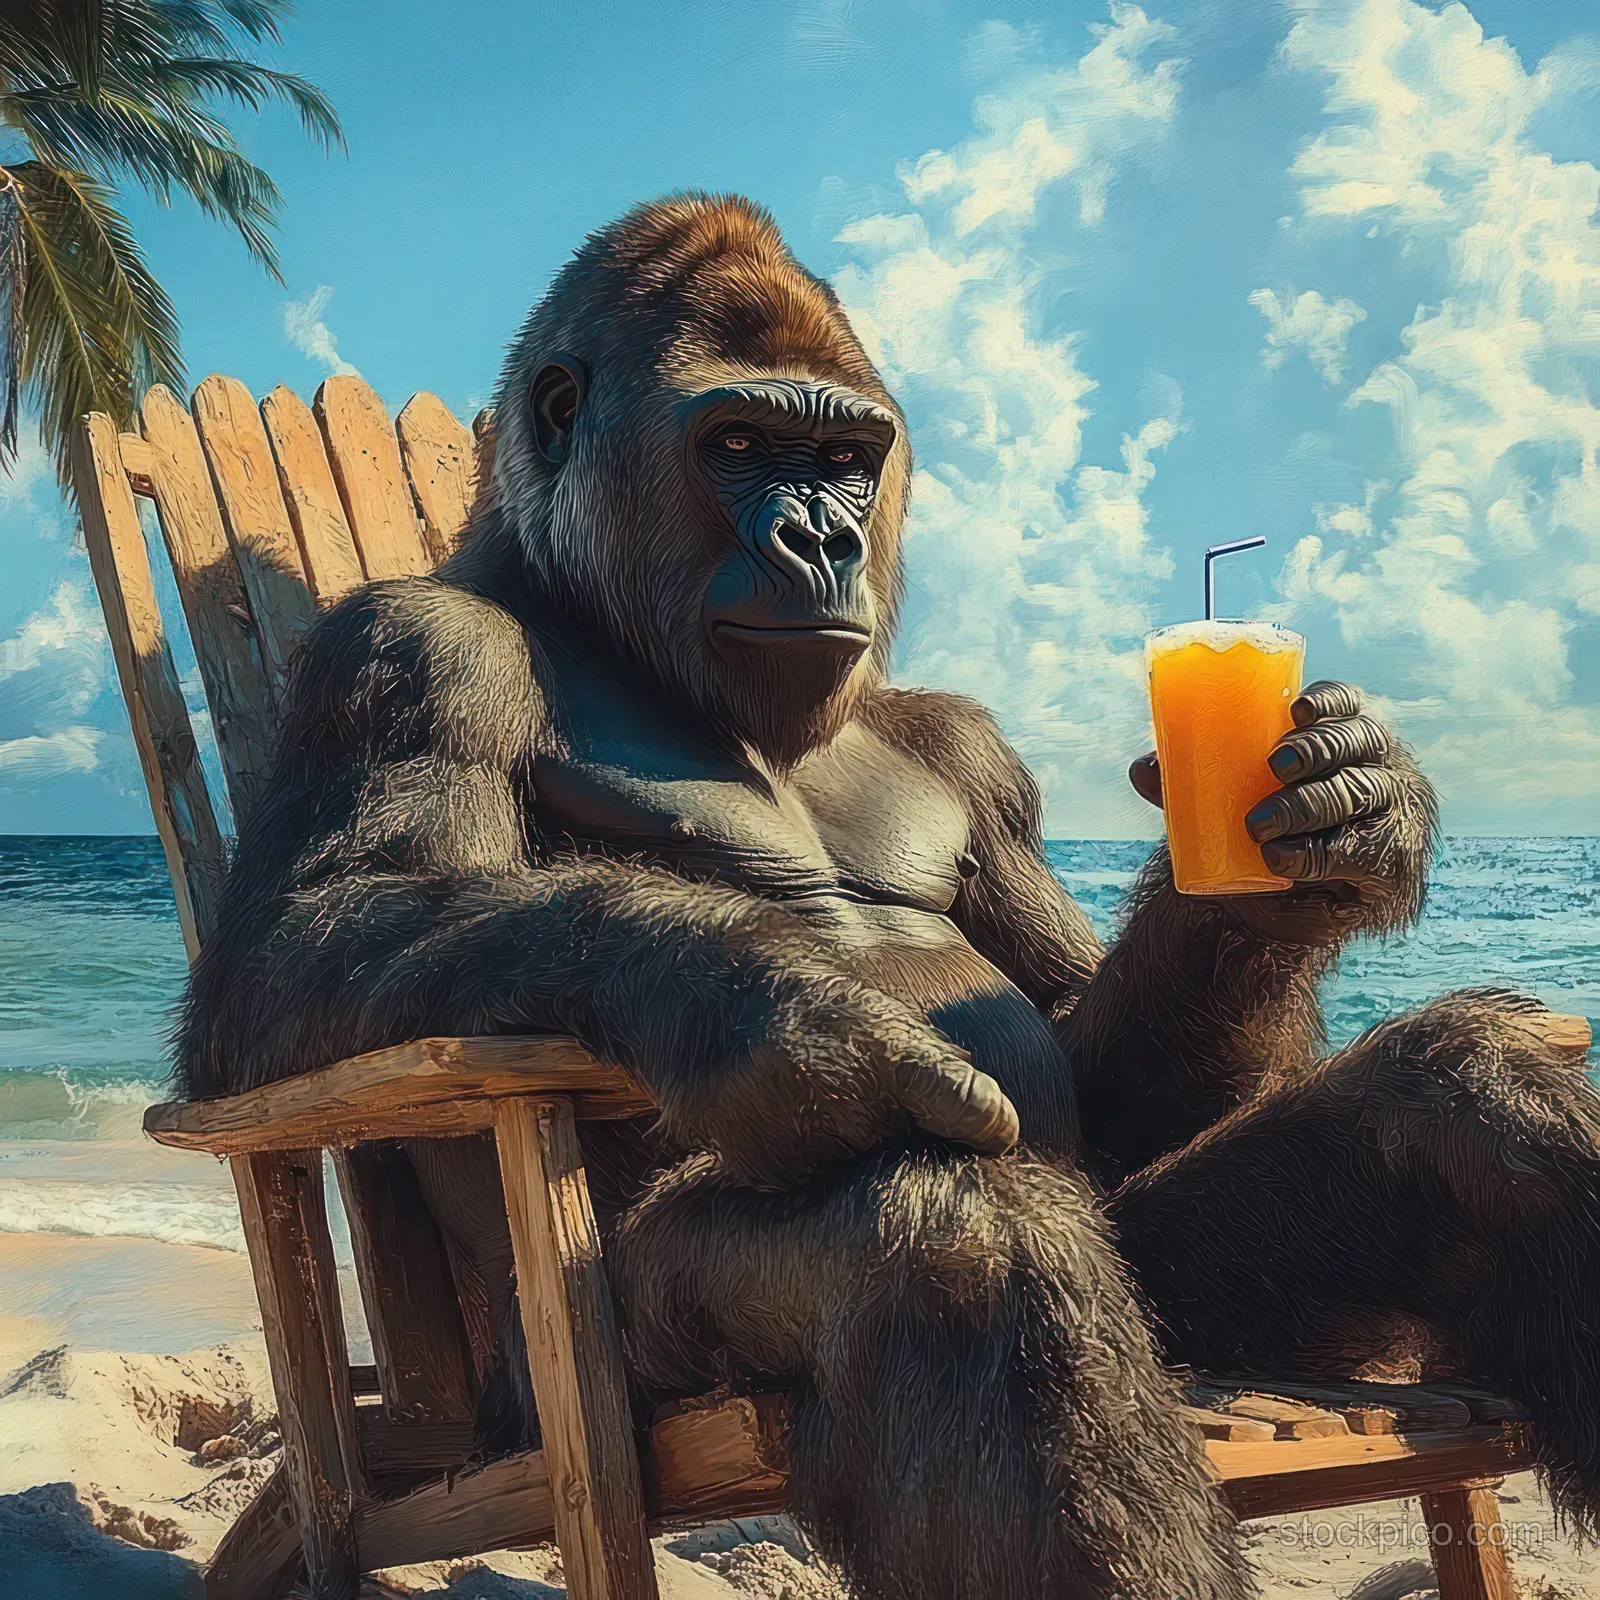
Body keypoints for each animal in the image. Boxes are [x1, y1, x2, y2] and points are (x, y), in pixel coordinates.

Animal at [177, 194, 1600, 1600]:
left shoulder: (974, 752)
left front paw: (1323, 844)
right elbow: (290, 964)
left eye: (847, 456)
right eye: (740, 444)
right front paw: (768, 1012)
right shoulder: (408, 651)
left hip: (1194, 1312)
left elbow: (1088, 1054)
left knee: (1470, 1094)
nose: (826, 536)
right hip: (594, 1380)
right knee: (950, 1240)